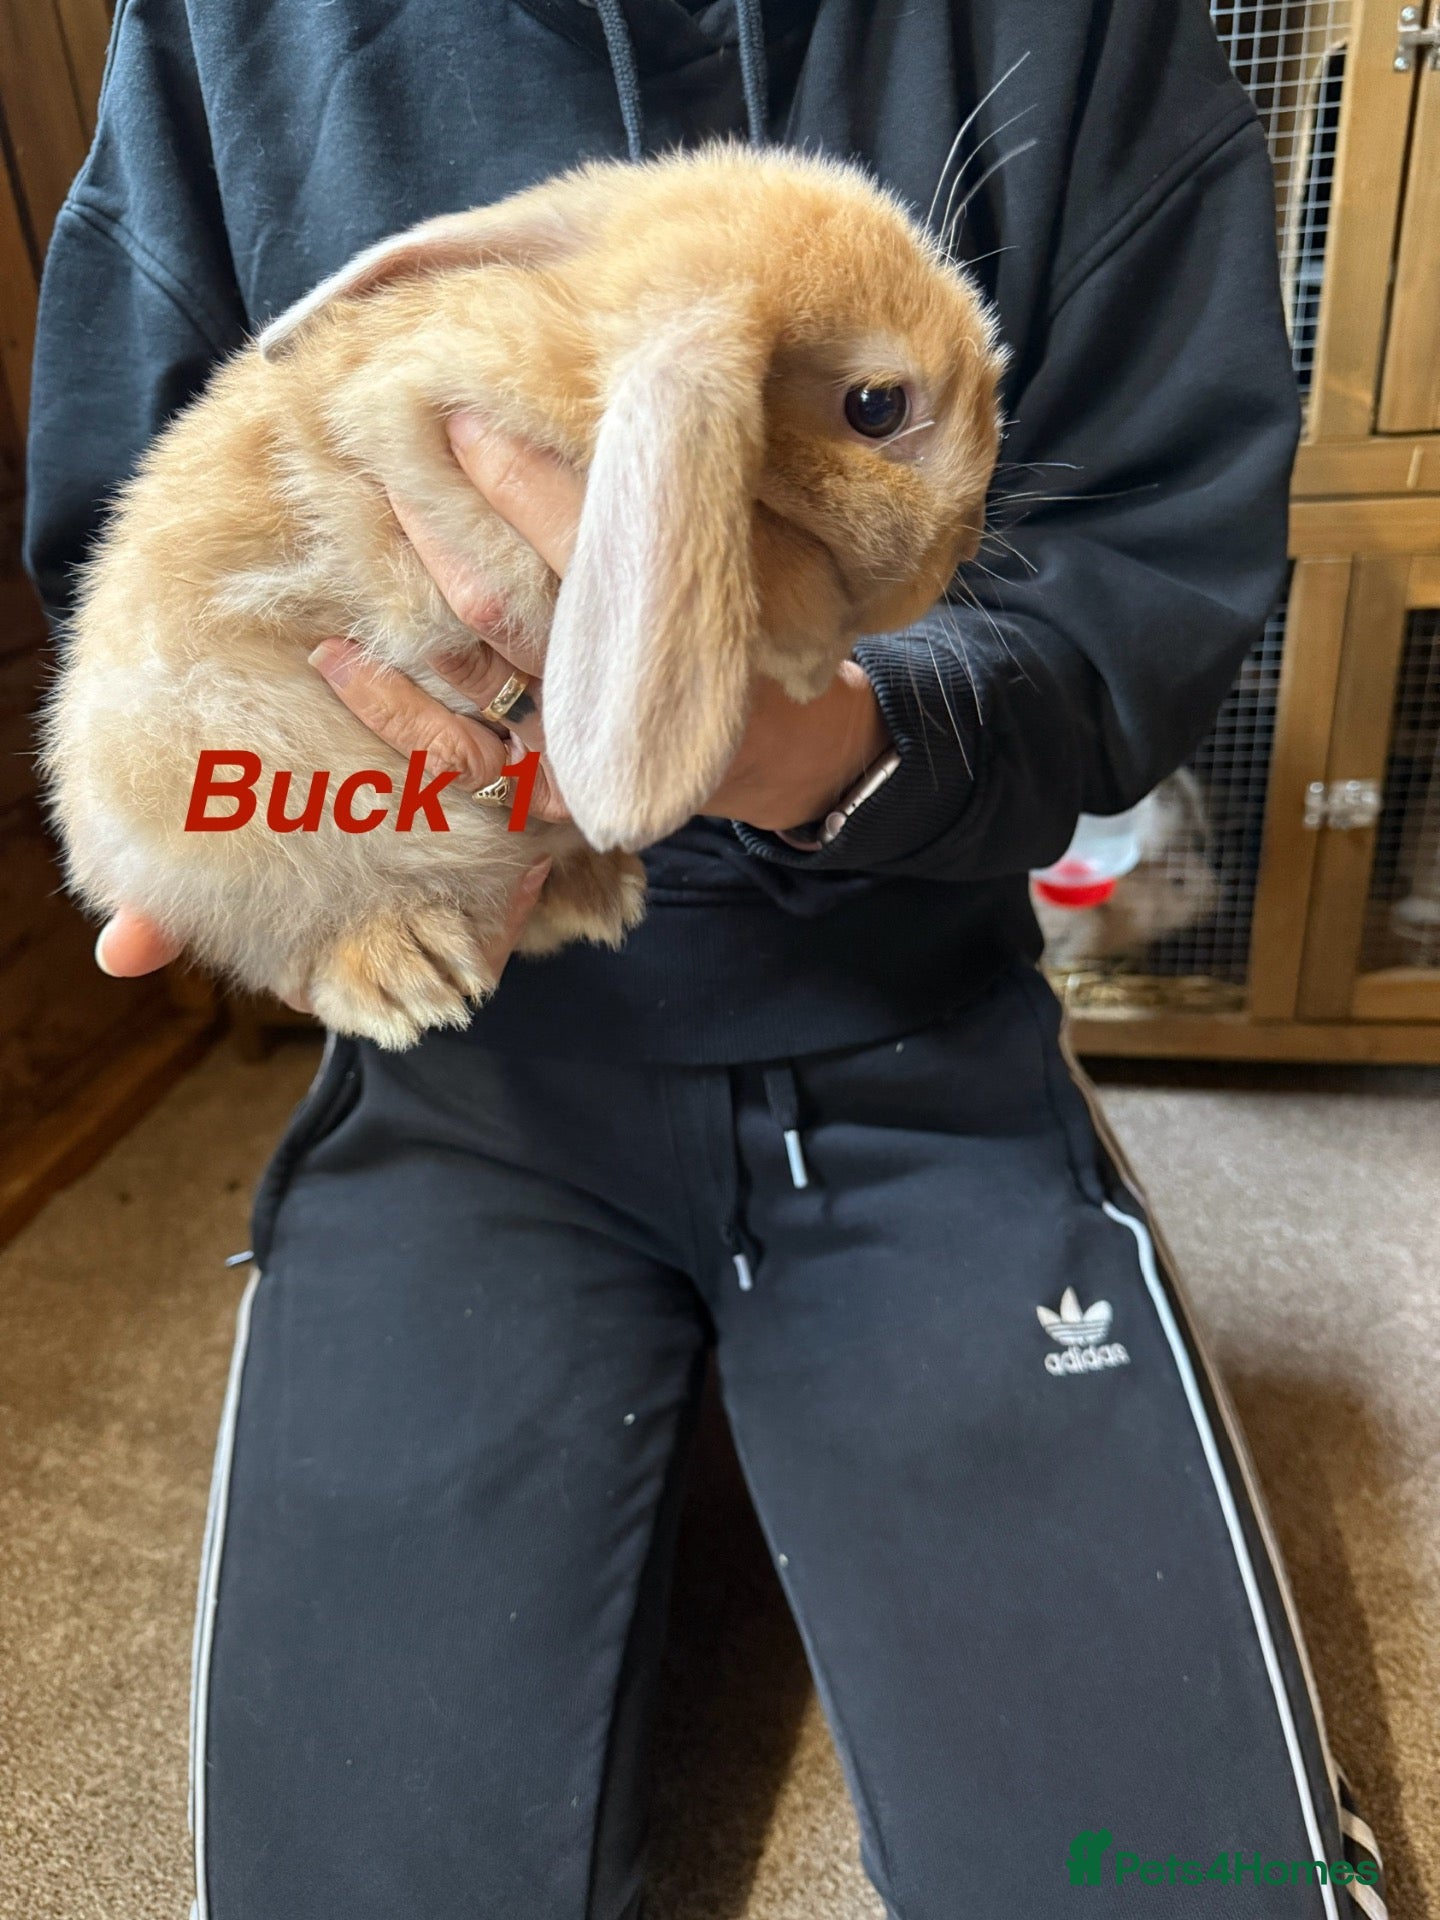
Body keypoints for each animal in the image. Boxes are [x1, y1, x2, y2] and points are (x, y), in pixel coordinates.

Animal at [43, 144, 1005, 1048]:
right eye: (877, 406)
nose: (953, 557)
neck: (584, 339)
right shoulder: (443, 443)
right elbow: (762, 556)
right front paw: (807, 650)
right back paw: (404, 970)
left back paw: (594, 891)